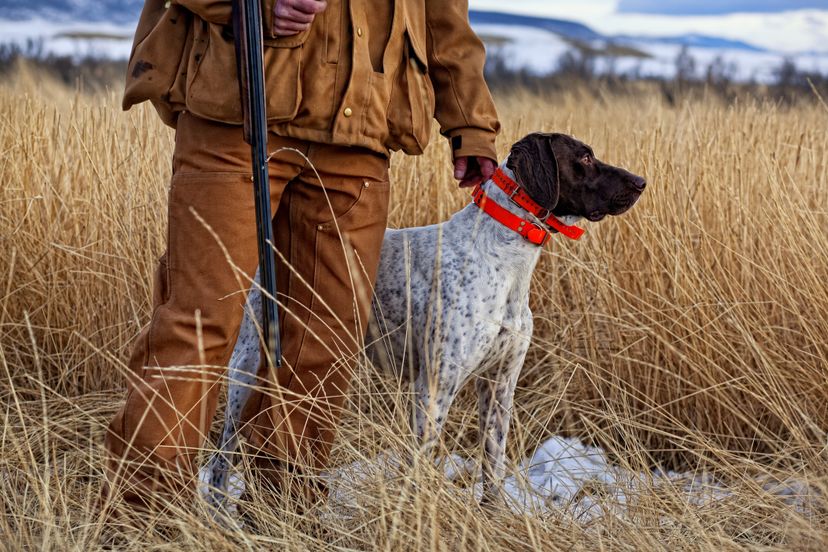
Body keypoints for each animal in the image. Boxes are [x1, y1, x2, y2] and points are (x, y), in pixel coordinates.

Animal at [207, 130, 648, 508]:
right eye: (584, 157)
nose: (641, 181)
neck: (505, 260)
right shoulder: (435, 387)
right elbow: (418, 467)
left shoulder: (500, 385)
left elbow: (493, 465)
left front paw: (493, 516)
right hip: (245, 371)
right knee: (219, 461)